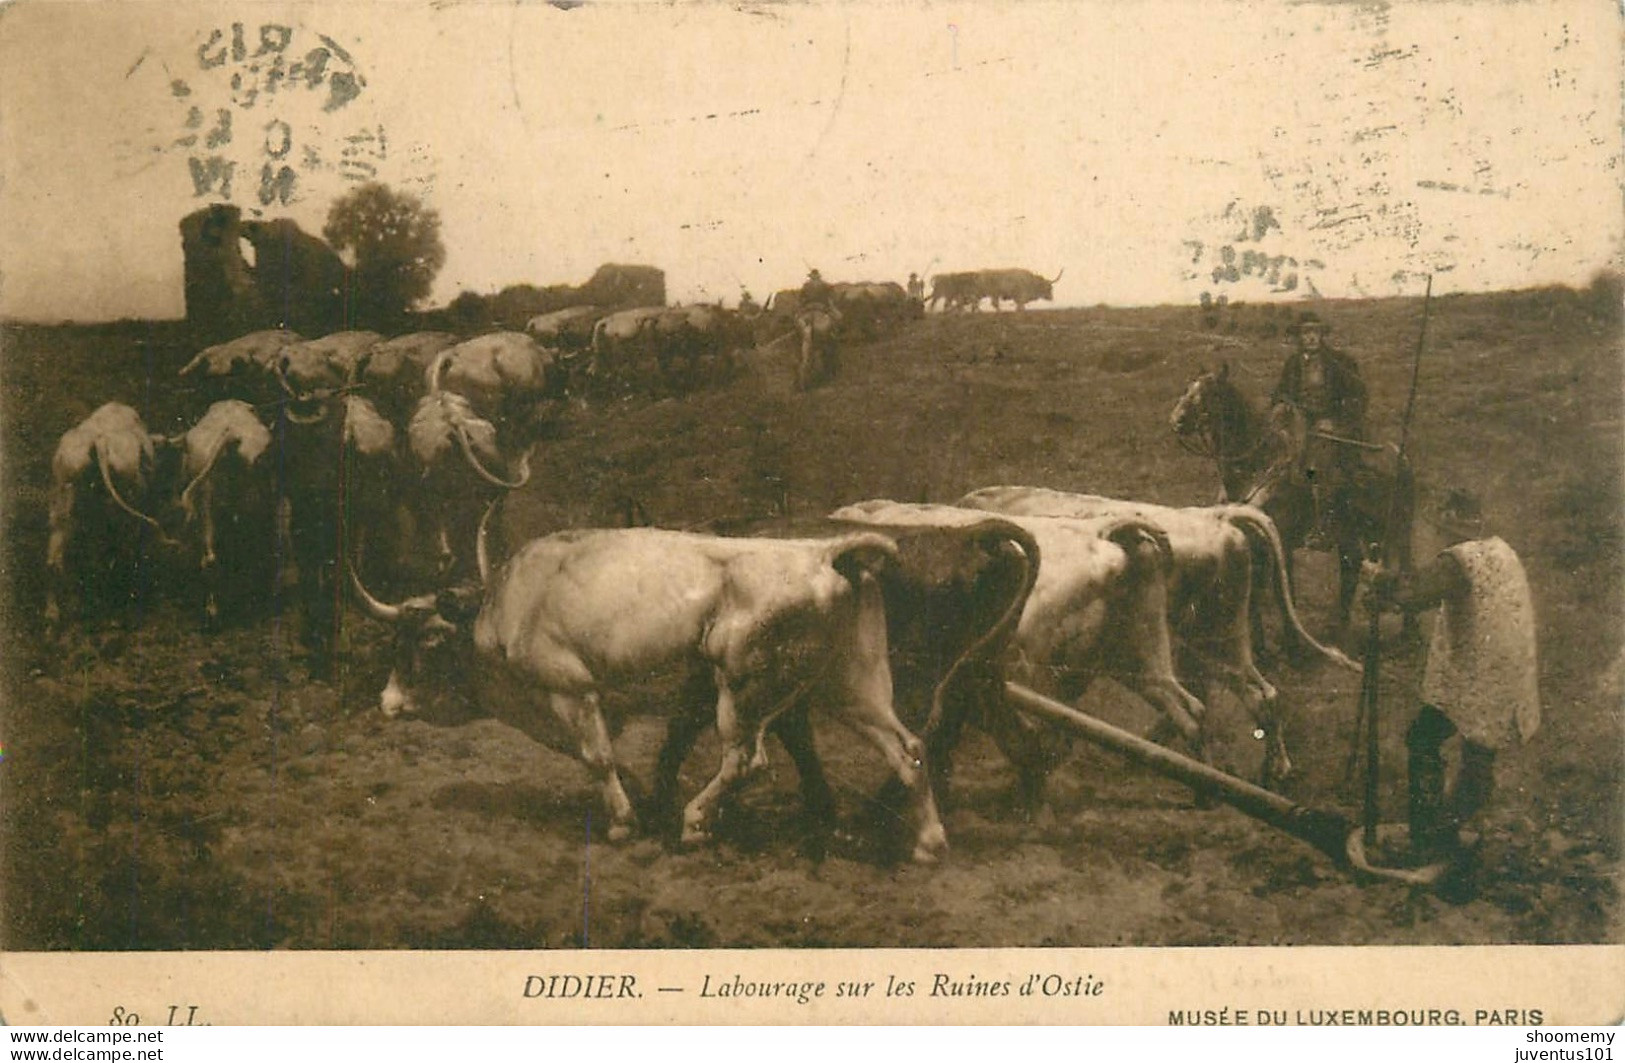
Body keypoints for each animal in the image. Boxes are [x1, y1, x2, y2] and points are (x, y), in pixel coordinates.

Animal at [44, 399, 177, 633]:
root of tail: (99, 443)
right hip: (119, 509)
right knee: (115, 550)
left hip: (61, 508)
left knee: (56, 560)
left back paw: (54, 617)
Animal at [349, 529, 949, 864]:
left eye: (422, 640)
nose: (388, 702)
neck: (509, 603)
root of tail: (823, 553)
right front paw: (640, 799)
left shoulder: (572, 689)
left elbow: (596, 756)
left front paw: (622, 822)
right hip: (850, 683)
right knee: (908, 747)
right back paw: (929, 843)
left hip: (742, 689)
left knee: (746, 760)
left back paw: (695, 823)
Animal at [1170, 367, 1410, 646]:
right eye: (1188, 388)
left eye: (1212, 393)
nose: (1176, 420)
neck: (1255, 469)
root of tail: (1396, 454)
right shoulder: (1253, 542)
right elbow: (1254, 593)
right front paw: (1260, 645)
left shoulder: (1282, 542)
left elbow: (1284, 593)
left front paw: (1293, 644)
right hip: (1351, 533)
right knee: (1353, 569)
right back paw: (1341, 631)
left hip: (1387, 530)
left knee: (1393, 574)